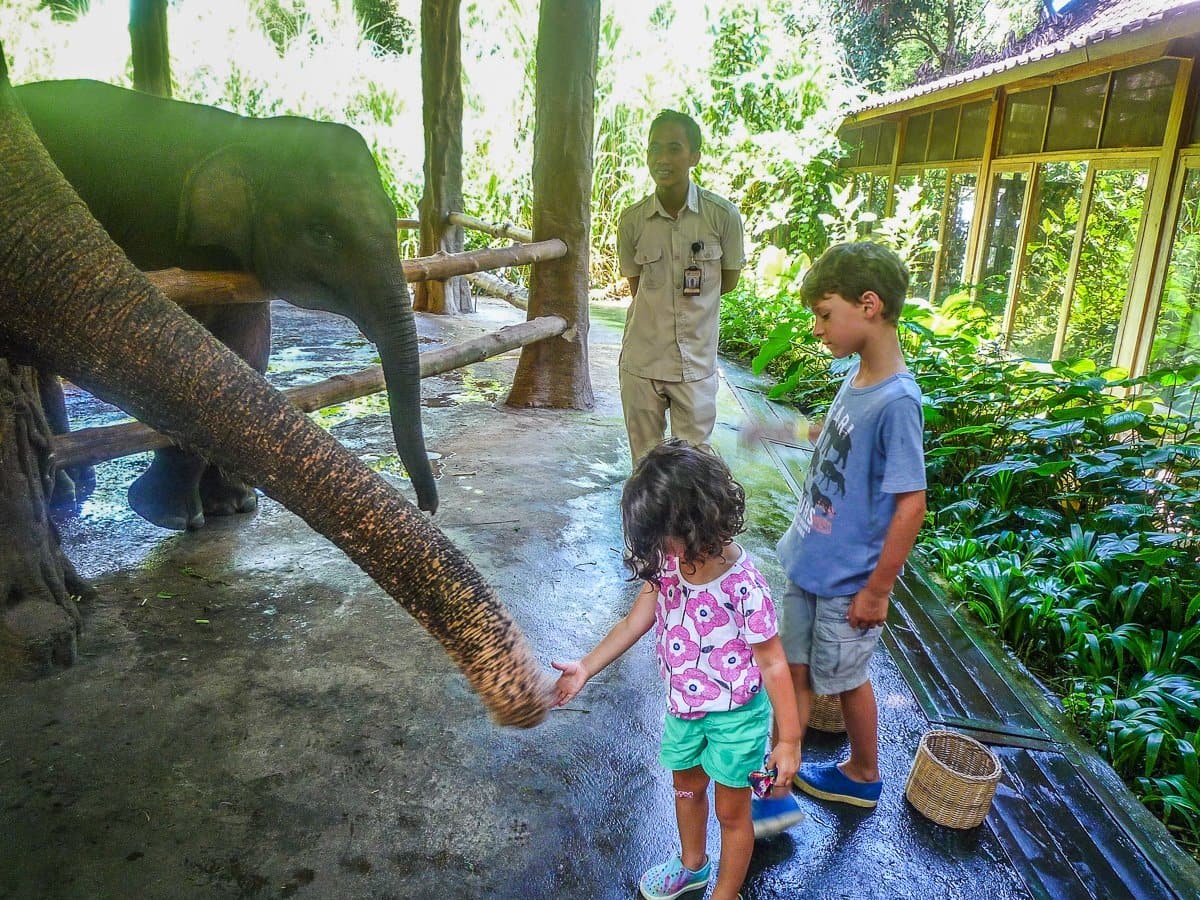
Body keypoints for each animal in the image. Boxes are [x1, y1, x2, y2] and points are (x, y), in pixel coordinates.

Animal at [14, 79, 439, 528]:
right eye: (322, 233)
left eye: (393, 217)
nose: (427, 506)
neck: (249, 135)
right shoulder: (160, 233)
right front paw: (170, 516)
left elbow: (247, 350)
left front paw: (233, 506)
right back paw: (65, 492)